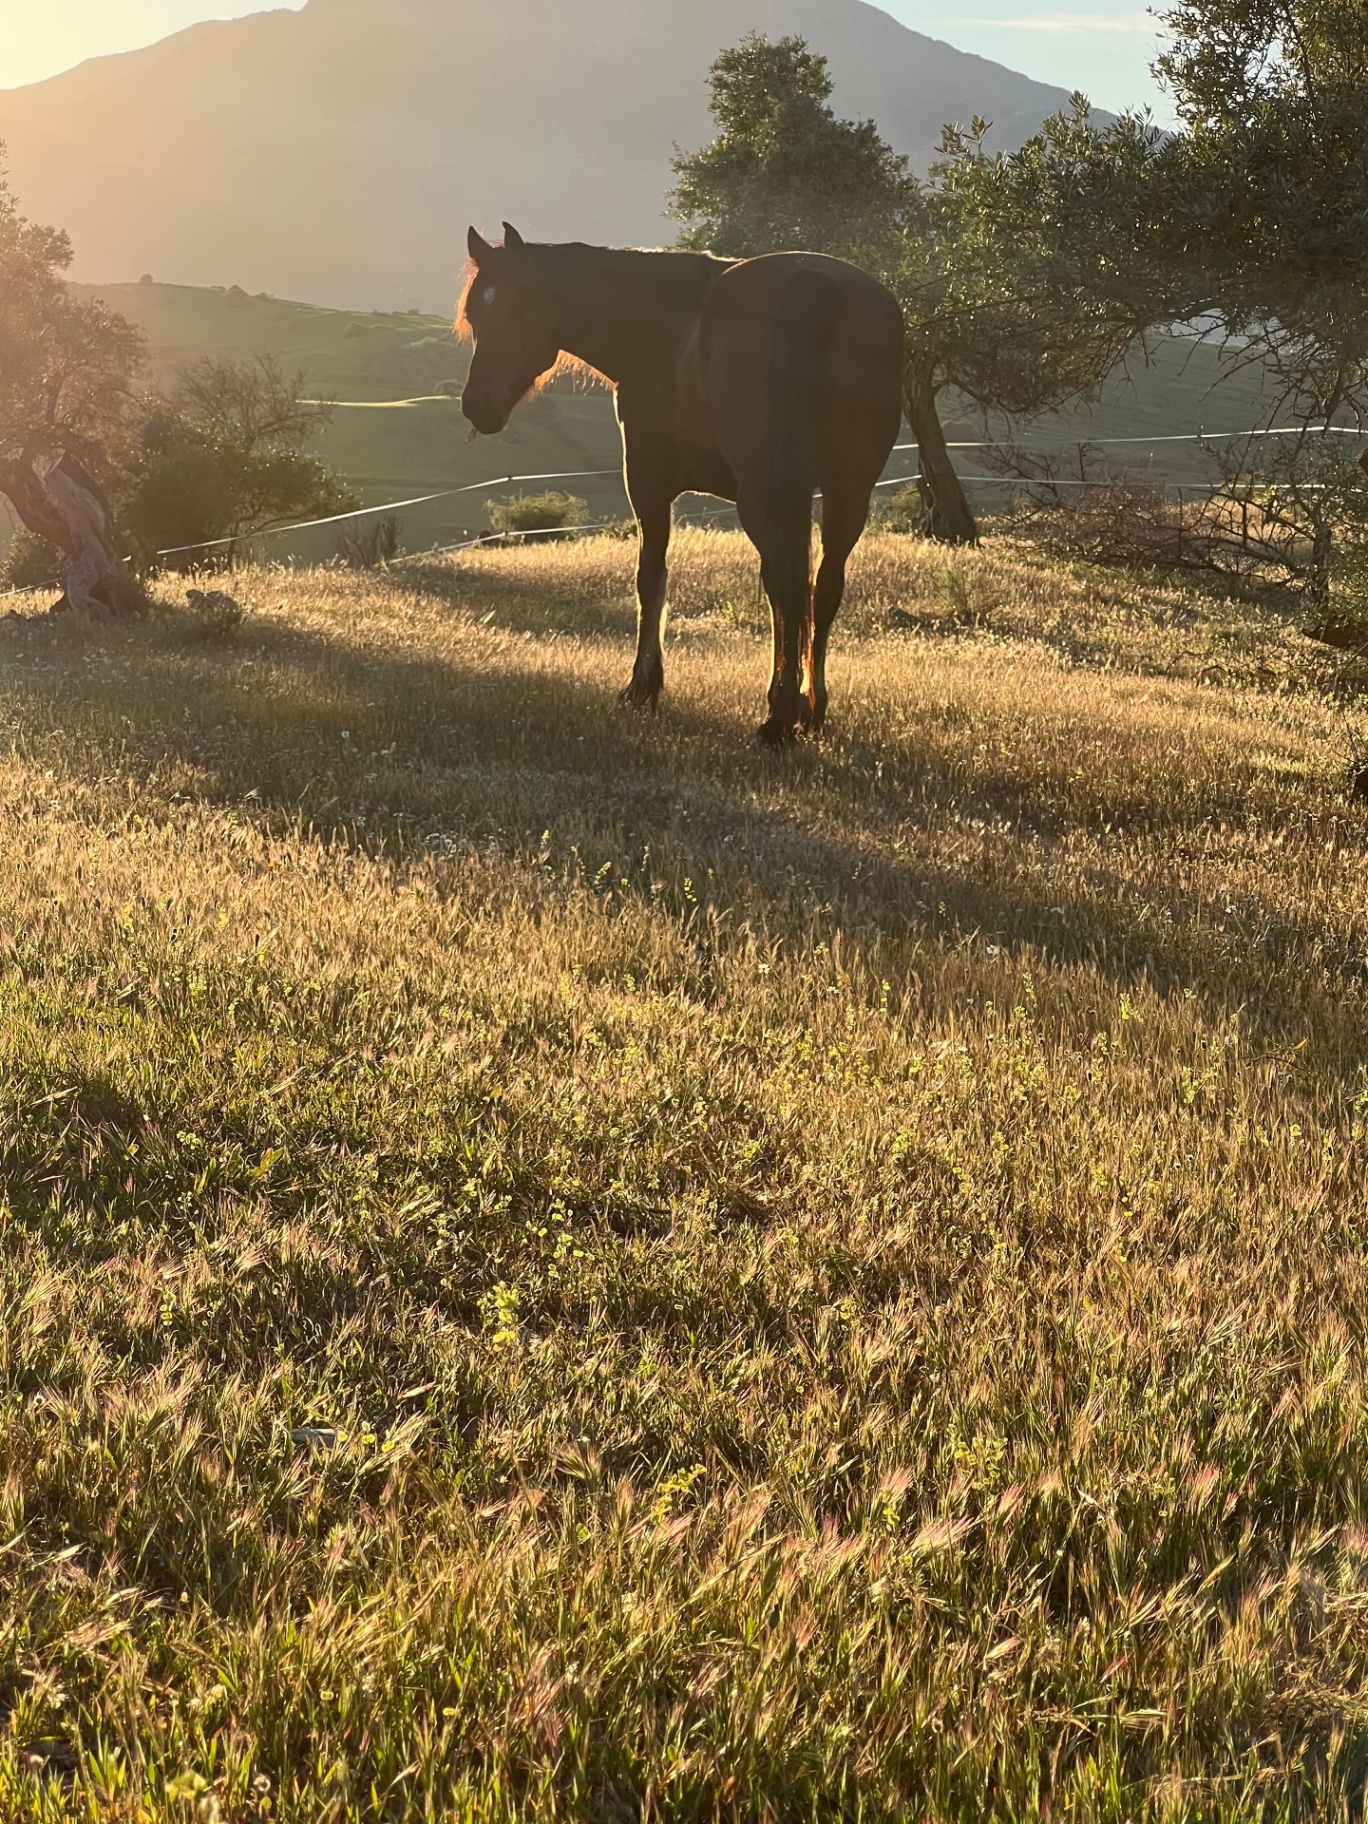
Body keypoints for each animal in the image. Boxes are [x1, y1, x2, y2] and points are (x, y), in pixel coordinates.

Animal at [459, 224, 904, 743]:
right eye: (474, 314)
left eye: (517, 309)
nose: (477, 404)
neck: (664, 327)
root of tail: (812, 281)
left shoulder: (647, 485)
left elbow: (650, 579)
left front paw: (642, 687)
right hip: (846, 492)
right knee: (822, 587)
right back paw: (811, 710)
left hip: (764, 496)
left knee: (785, 586)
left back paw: (779, 715)